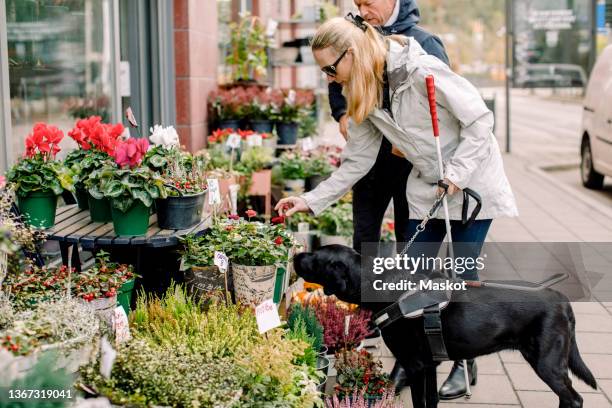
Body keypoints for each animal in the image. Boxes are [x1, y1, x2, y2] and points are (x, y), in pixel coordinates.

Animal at [296, 245, 596, 408]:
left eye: (315, 257)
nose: (297, 254)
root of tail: (561, 299)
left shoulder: (415, 365)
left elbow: (419, 402)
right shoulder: (429, 365)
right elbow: (430, 401)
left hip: (547, 361)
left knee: (574, 398)